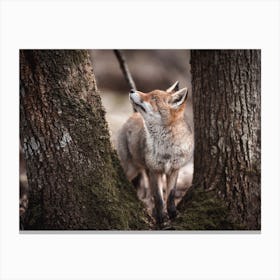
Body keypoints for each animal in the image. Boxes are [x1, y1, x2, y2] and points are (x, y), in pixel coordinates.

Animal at [117, 82, 194, 224]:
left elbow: (170, 196)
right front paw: (161, 220)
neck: (166, 149)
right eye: (149, 93)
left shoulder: (174, 170)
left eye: (153, 98)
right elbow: (158, 198)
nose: (131, 90)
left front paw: (173, 215)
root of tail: (132, 116)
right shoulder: (155, 170)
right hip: (132, 170)